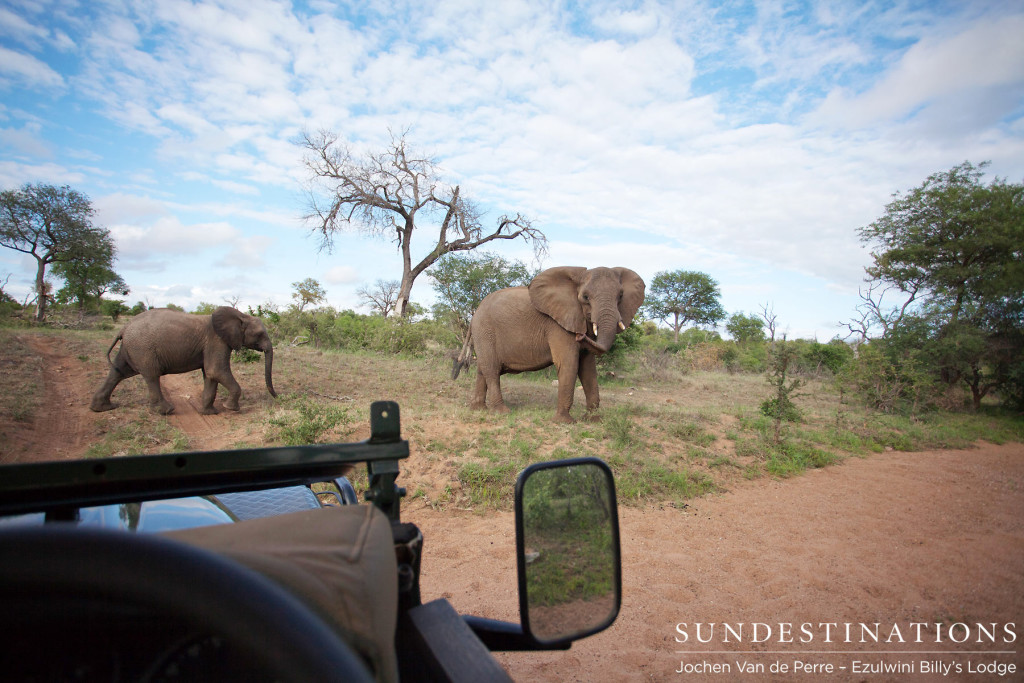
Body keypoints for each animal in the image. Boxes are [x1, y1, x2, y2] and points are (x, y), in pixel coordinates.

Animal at [89, 309, 276, 417]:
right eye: (259, 334)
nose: (277, 397)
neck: (241, 316)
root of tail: (124, 328)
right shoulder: (217, 341)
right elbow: (216, 371)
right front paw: (231, 409)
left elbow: (210, 375)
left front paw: (209, 413)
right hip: (142, 347)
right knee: (151, 375)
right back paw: (166, 411)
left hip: (131, 347)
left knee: (118, 371)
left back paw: (102, 408)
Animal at [452, 266, 643, 421]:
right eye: (586, 297)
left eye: (620, 296)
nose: (579, 336)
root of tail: (474, 315)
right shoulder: (558, 325)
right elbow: (568, 363)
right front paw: (564, 422)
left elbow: (588, 368)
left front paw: (593, 421)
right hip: (485, 331)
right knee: (491, 369)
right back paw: (502, 412)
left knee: (482, 369)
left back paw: (478, 410)